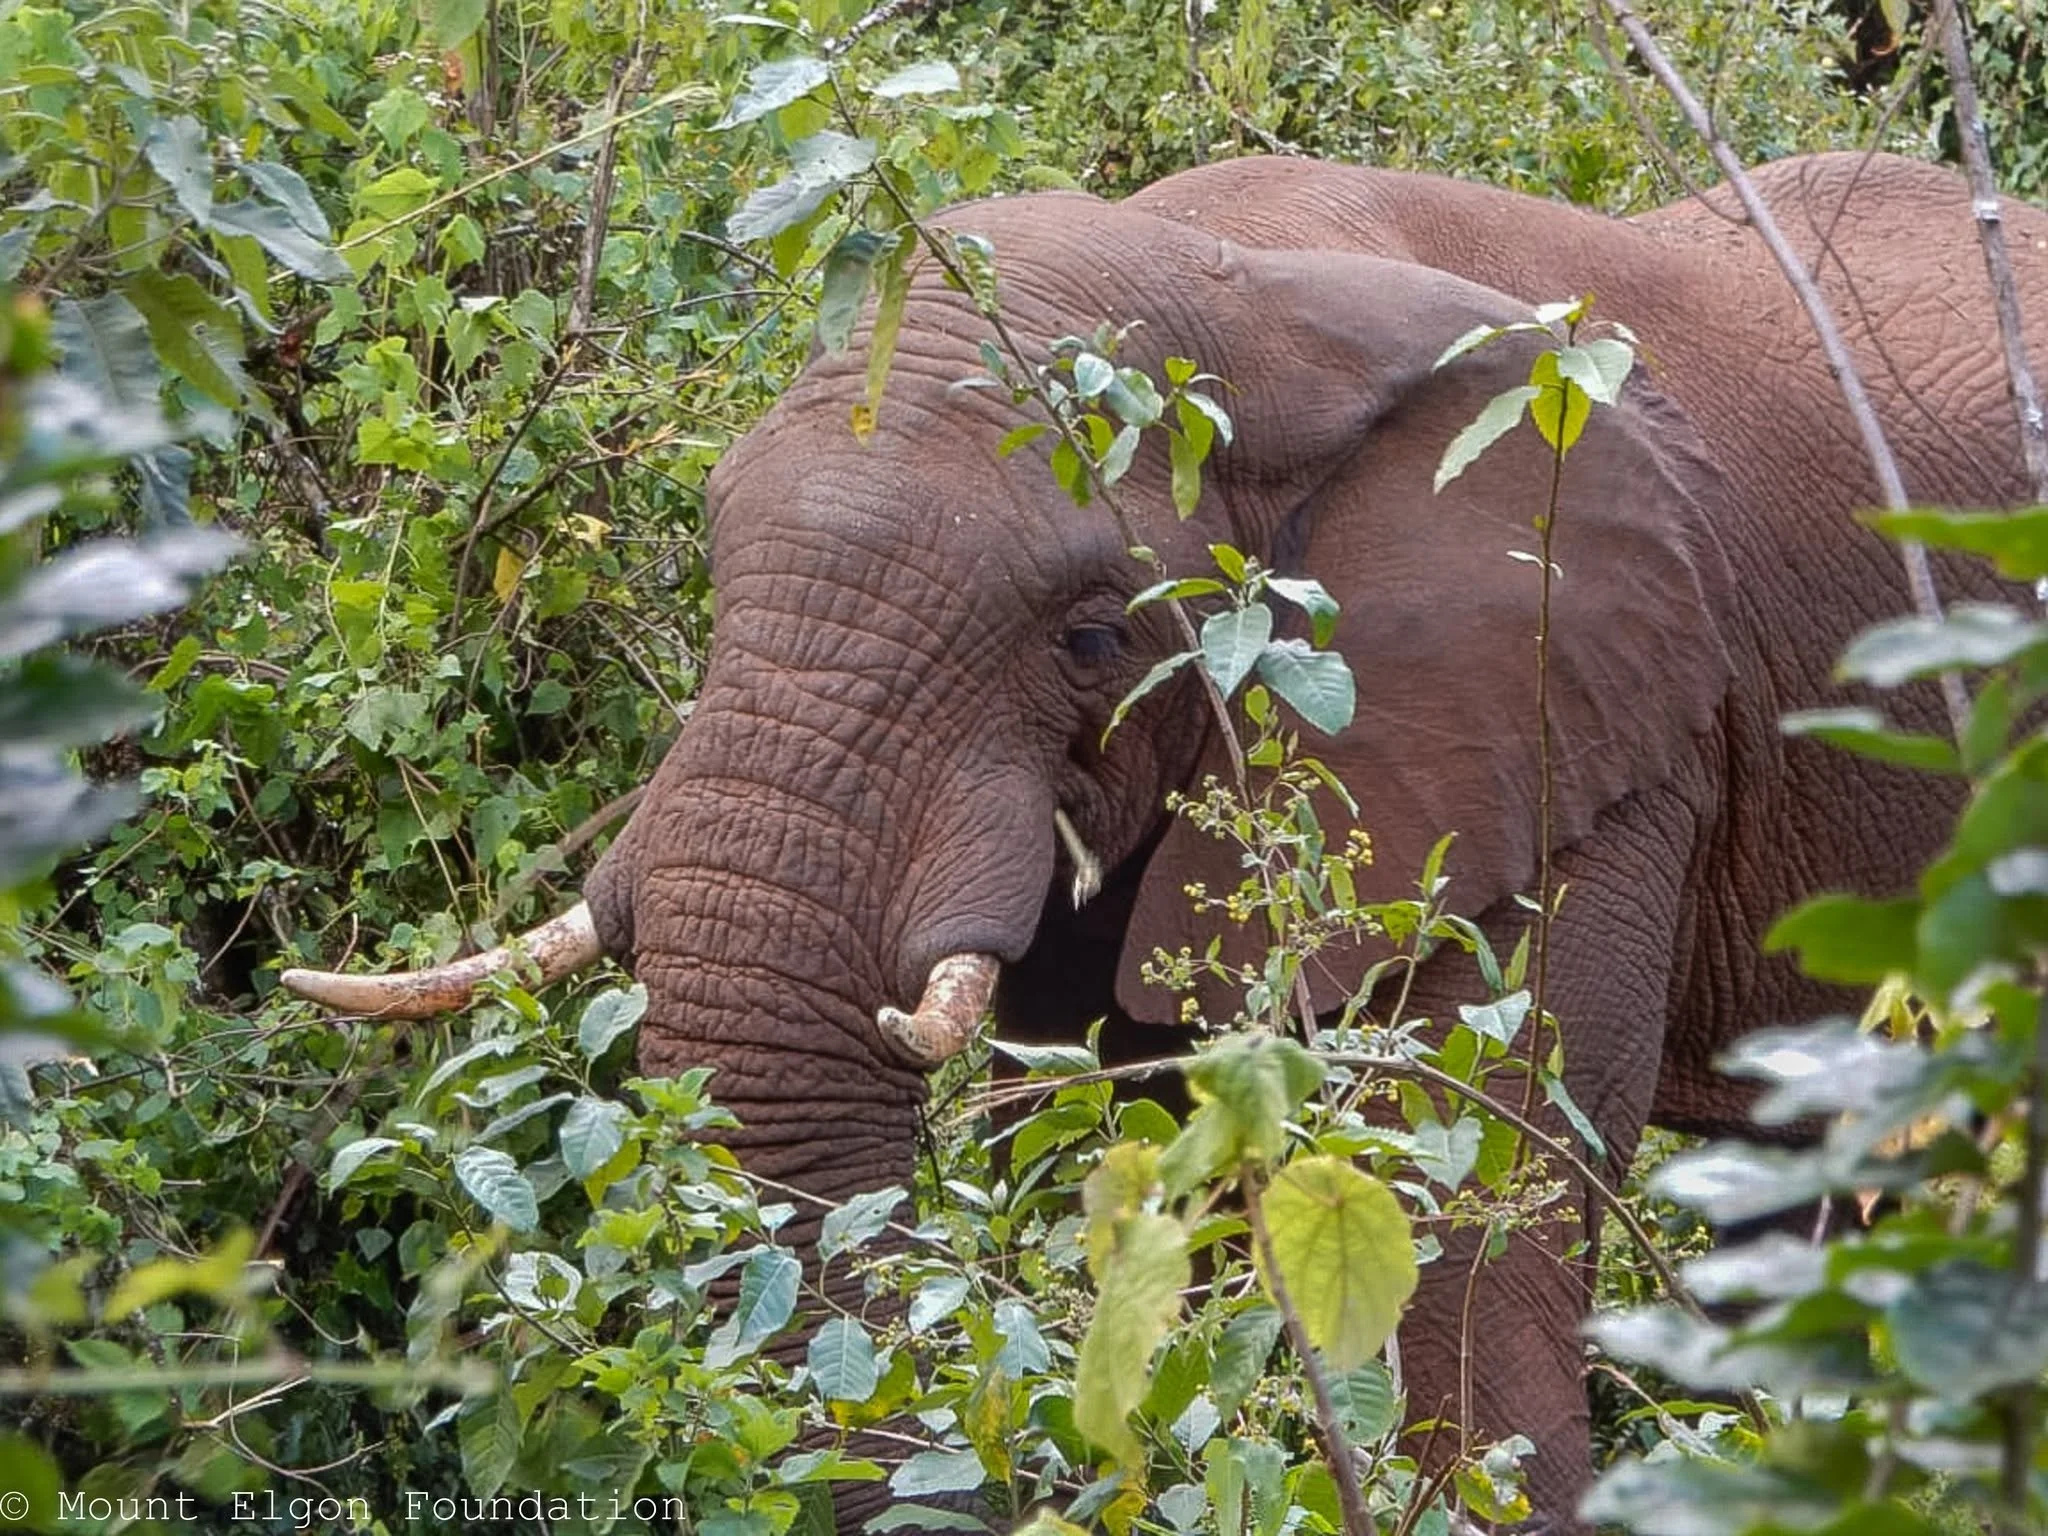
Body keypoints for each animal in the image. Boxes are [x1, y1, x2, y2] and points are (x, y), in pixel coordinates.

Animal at [283, 151, 2048, 1529]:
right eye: (713, 545)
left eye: (1087, 634)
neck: (1253, 289)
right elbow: (1134, 1160)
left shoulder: (1592, 720)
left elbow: (1472, 1205)